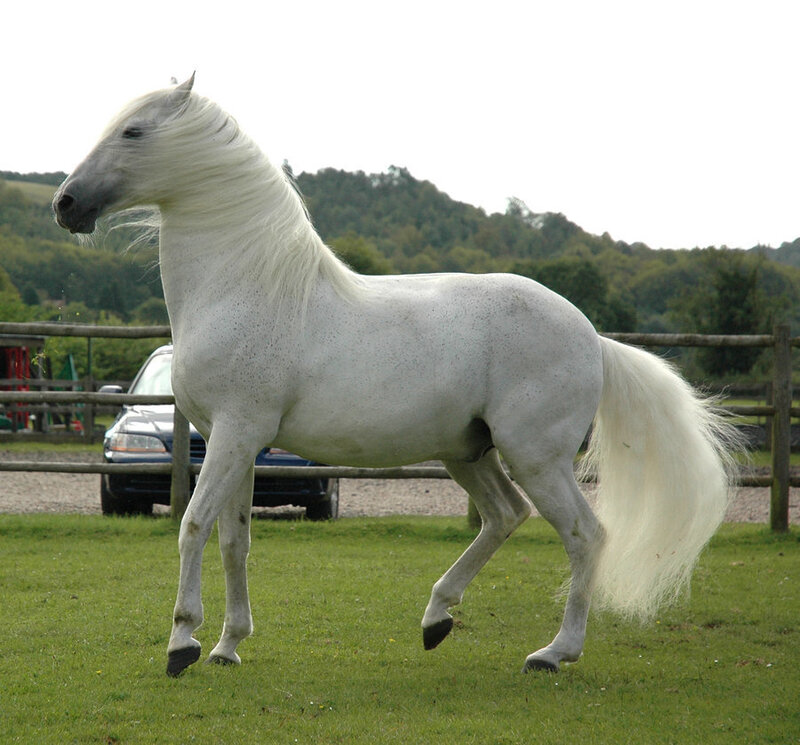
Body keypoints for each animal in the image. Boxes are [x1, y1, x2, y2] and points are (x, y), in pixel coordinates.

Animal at [53, 75, 738, 678]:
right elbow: (233, 541)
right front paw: (227, 646)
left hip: (536, 456)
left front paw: (182, 645)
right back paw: (436, 619)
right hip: (469, 452)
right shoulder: (239, 444)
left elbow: (192, 526)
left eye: (134, 131)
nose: (65, 204)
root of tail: (592, 337)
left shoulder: (234, 433)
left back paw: (552, 654)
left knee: (583, 534)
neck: (245, 287)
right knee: (504, 516)